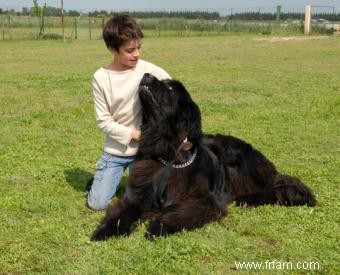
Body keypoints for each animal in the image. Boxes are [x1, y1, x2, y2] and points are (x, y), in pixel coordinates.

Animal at [91, 74, 316, 242]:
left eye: (169, 88)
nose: (146, 74)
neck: (167, 150)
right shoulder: (141, 193)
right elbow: (123, 212)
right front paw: (106, 230)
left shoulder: (204, 199)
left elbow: (178, 212)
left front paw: (157, 227)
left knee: (274, 189)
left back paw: (248, 199)